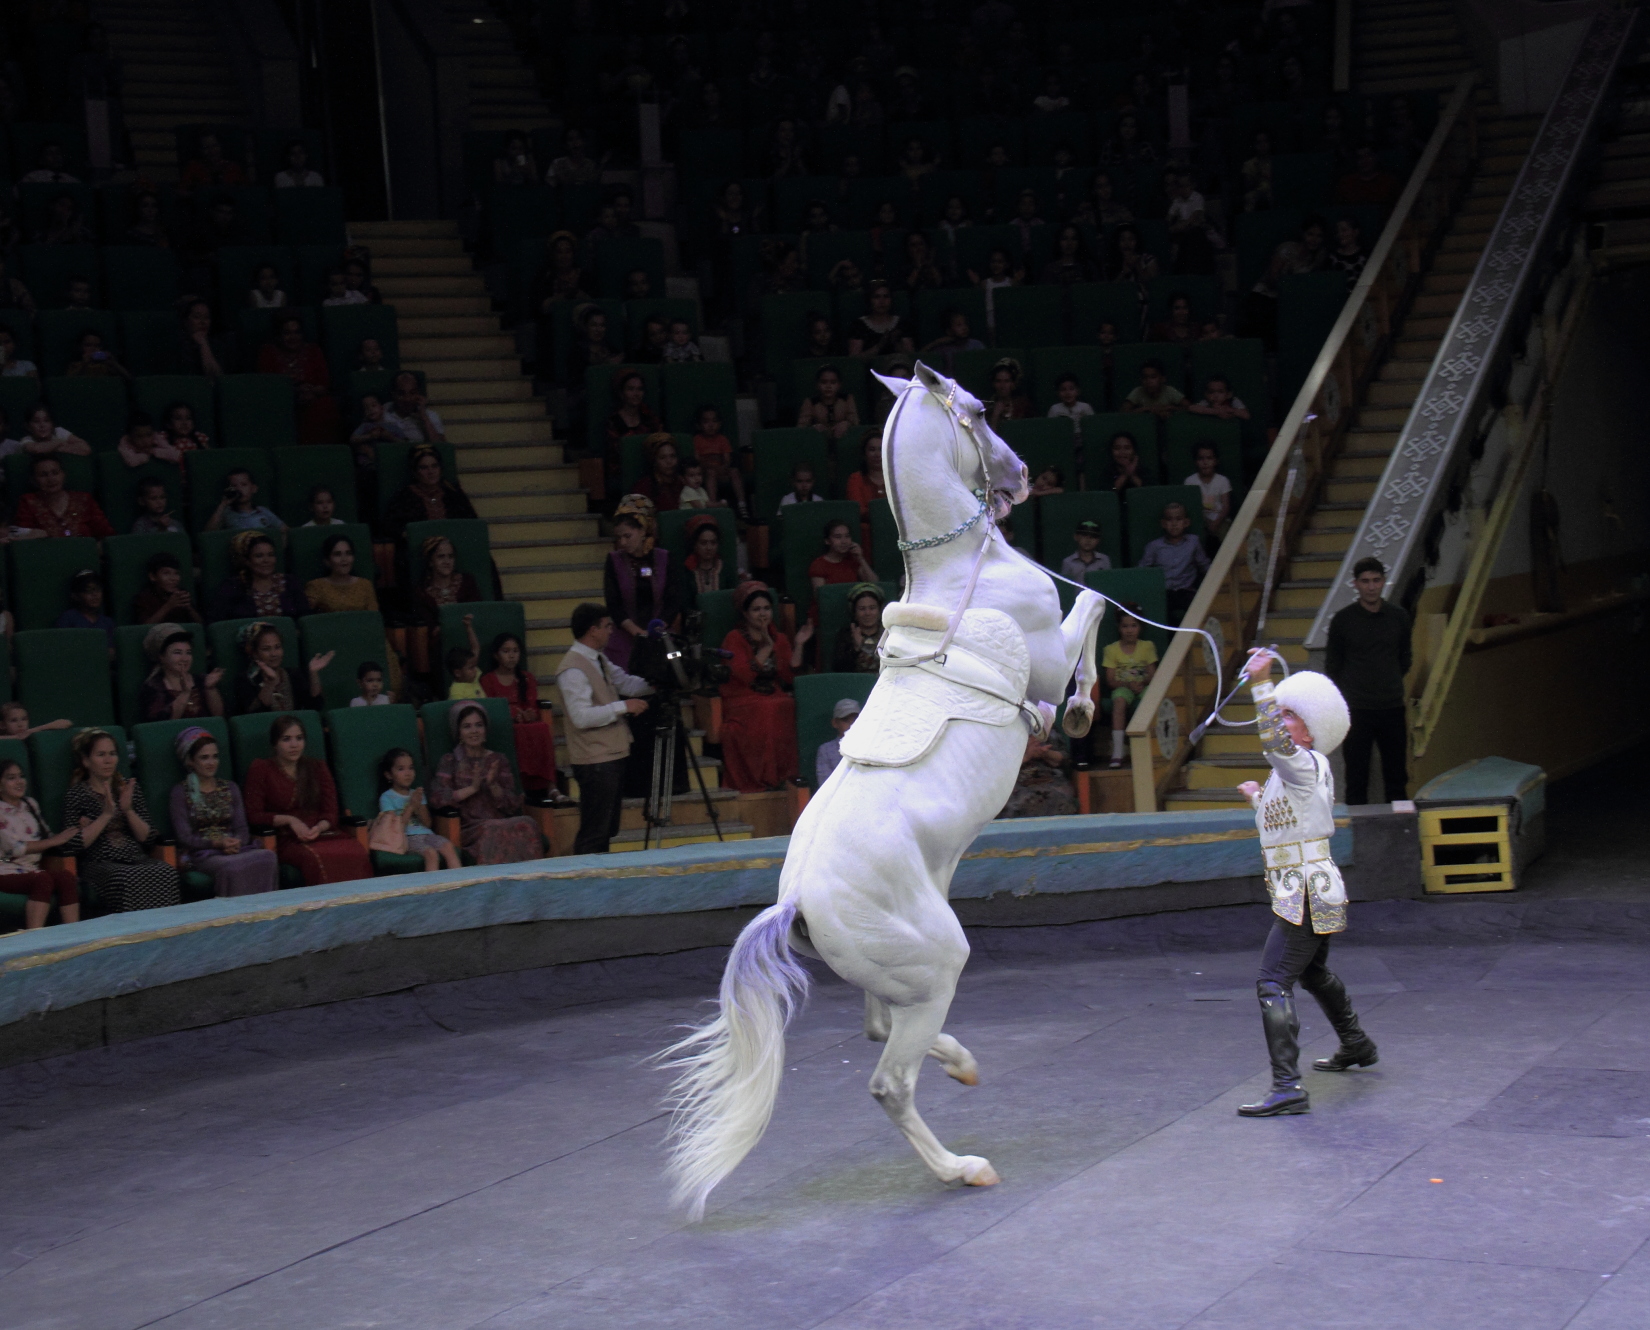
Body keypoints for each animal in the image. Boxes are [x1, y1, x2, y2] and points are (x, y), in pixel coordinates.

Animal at [660, 361, 1108, 1221]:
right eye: (980, 410)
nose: (1022, 476)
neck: (965, 570)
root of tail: (797, 902)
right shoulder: (1045, 656)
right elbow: (1092, 609)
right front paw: (1082, 708)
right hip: (936, 960)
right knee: (888, 1080)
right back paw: (963, 1167)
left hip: (900, 968)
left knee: (878, 1025)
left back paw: (961, 1062)